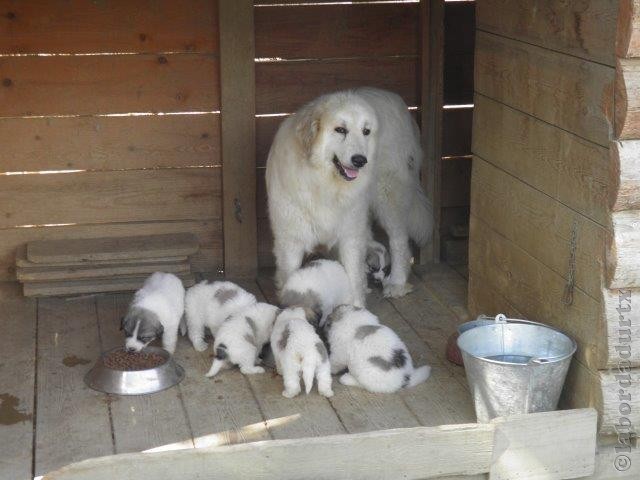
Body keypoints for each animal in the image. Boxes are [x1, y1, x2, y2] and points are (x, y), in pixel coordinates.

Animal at [264, 86, 436, 306]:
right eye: (340, 130)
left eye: (366, 131)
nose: (360, 160)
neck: (324, 183)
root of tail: (393, 97)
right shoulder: (290, 240)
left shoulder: (350, 235)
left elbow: (353, 277)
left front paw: (356, 309)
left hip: (388, 198)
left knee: (399, 240)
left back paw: (397, 282)